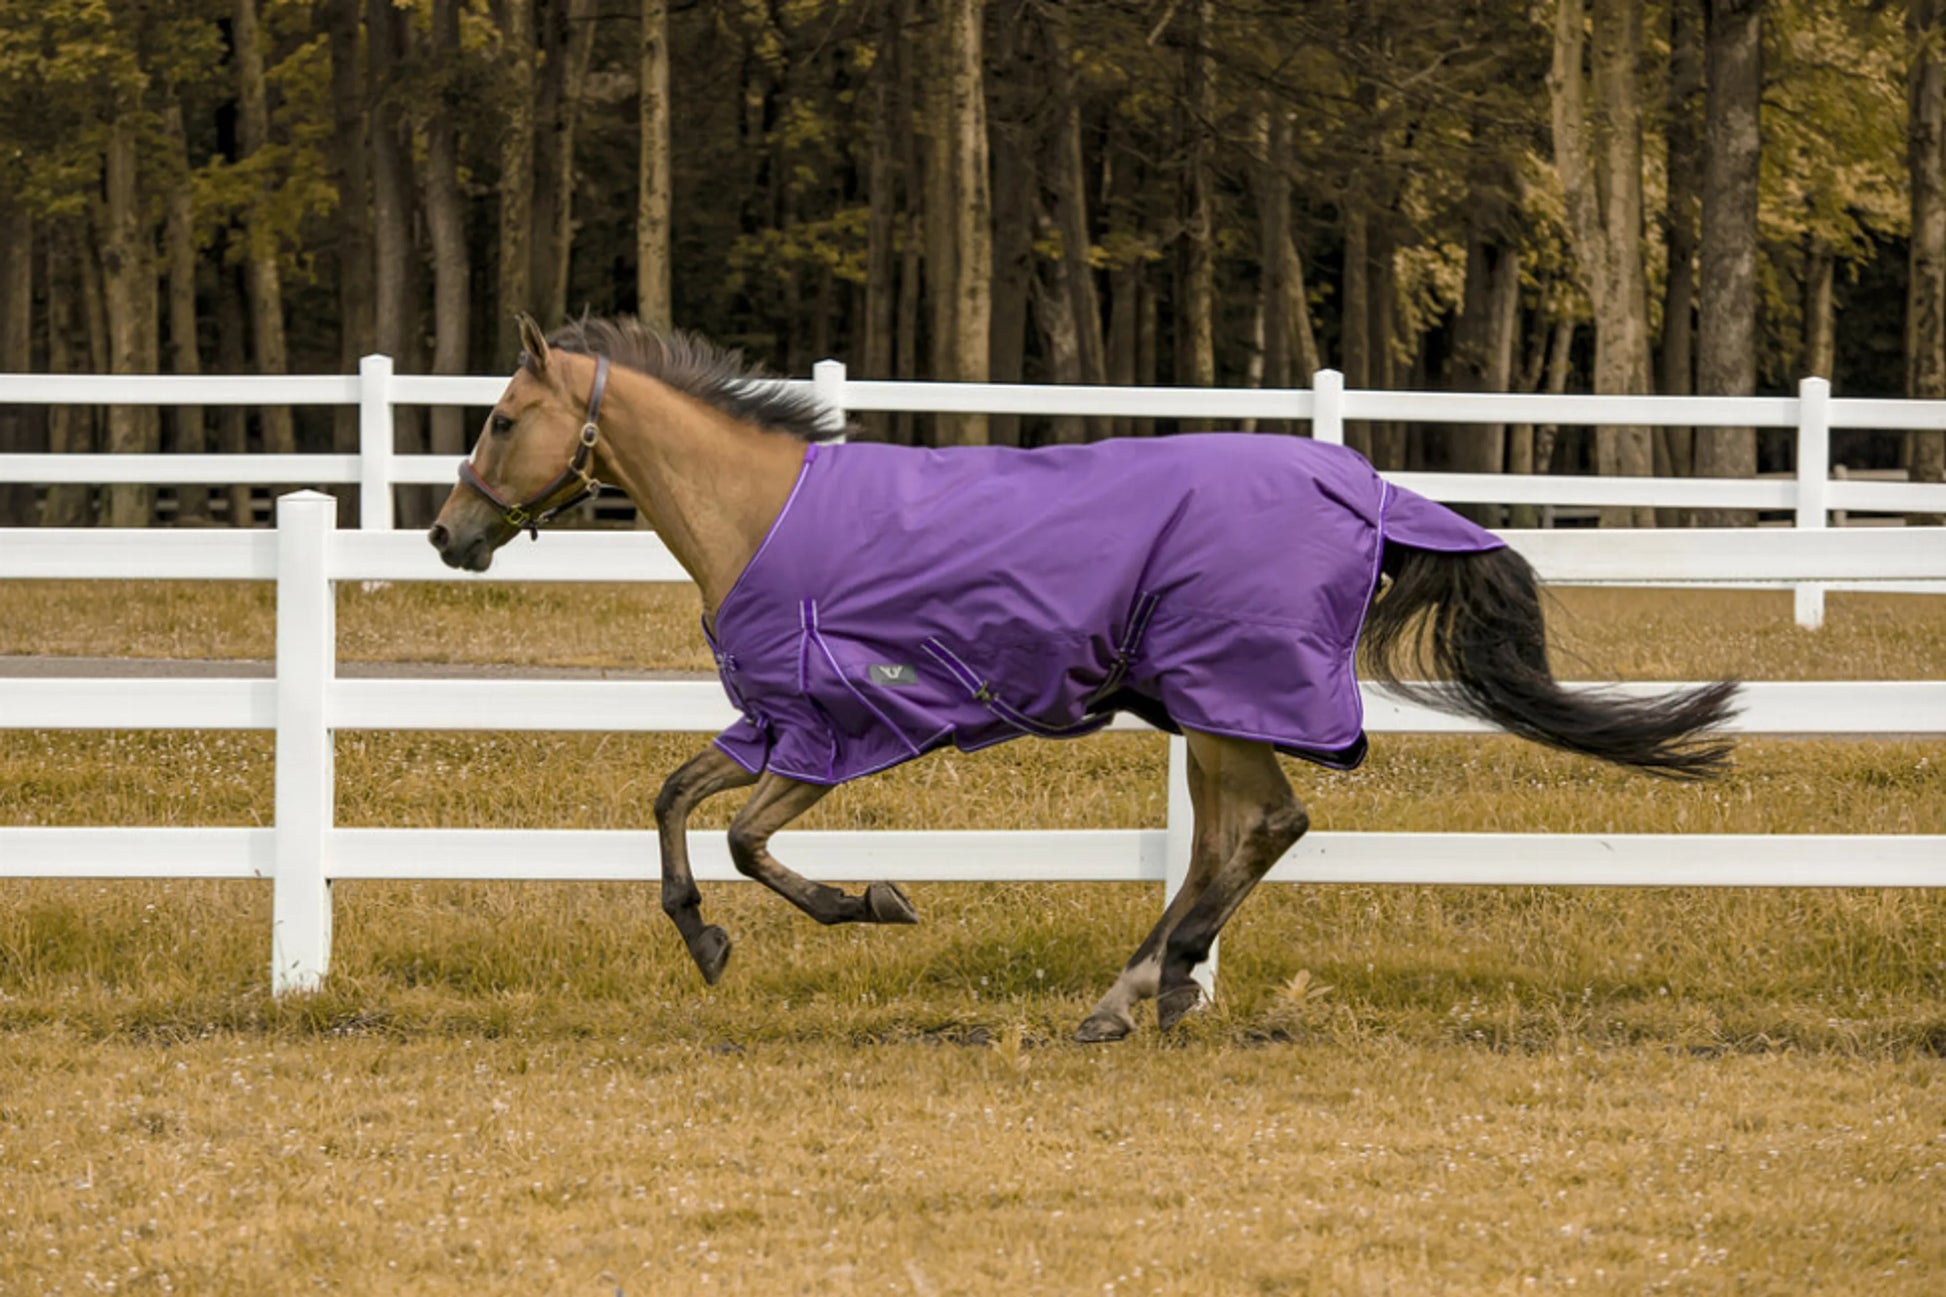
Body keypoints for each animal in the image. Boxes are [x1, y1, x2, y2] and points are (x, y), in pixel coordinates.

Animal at [430, 314, 1738, 1042]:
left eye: (499, 418)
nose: (449, 535)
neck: (764, 515)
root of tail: (1363, 488)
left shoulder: (842, 724)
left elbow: (749, 841)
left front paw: (871, 903)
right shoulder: (771, 721)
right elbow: (671, 800)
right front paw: (701, 939)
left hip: (1225, 699)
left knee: (1263, 824)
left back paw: (1137, 988)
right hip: (1204, 710)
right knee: (1233, 836)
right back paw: (1152, 985)